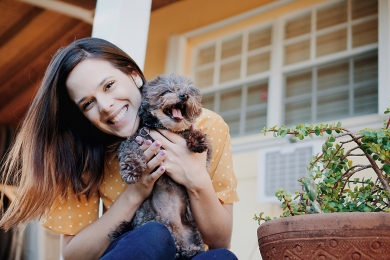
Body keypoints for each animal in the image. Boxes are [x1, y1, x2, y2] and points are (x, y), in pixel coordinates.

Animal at [109, 72, 212, 258]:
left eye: (188, 91)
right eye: (167, 91)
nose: (184, 96)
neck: (167, 128)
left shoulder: (206, 154)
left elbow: (195, 135)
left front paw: (197, 139)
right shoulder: (136, 138)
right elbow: (131, 151)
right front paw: (132, 169)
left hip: (194, 232)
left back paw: (189, 251)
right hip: (149, 218)